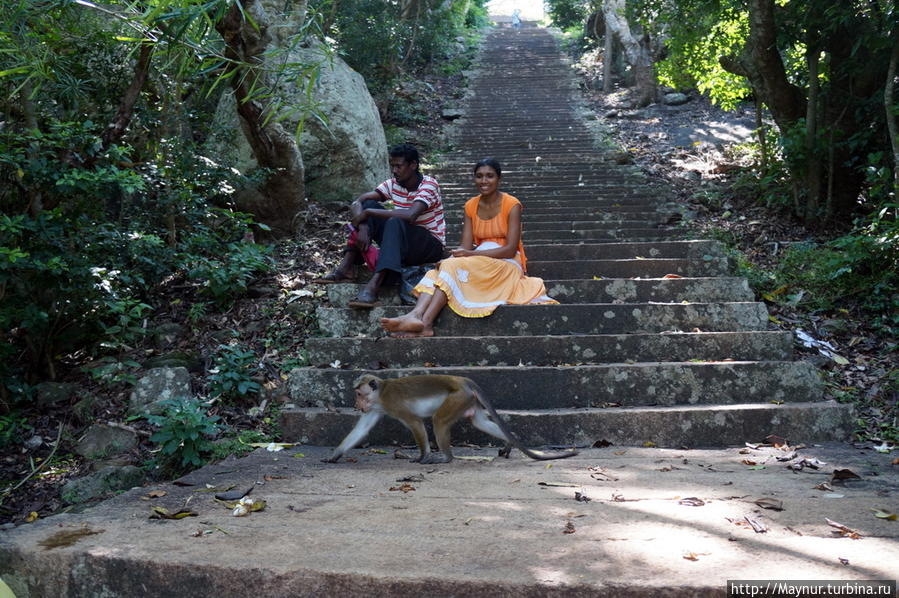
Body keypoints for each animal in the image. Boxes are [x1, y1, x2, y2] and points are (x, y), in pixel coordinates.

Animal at [320, 378, 580, 466]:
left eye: (359, 393)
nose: (356, 405)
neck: (380, 393)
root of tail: (463, 380)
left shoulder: (392, 404)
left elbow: (416, 423)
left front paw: (423, 456)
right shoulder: (375, 408)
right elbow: (360, 430)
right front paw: (334, 456)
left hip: (457, 398)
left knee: (438, 421)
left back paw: (446, 458)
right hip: (468, 402)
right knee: (480, 422)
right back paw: (508, 444)